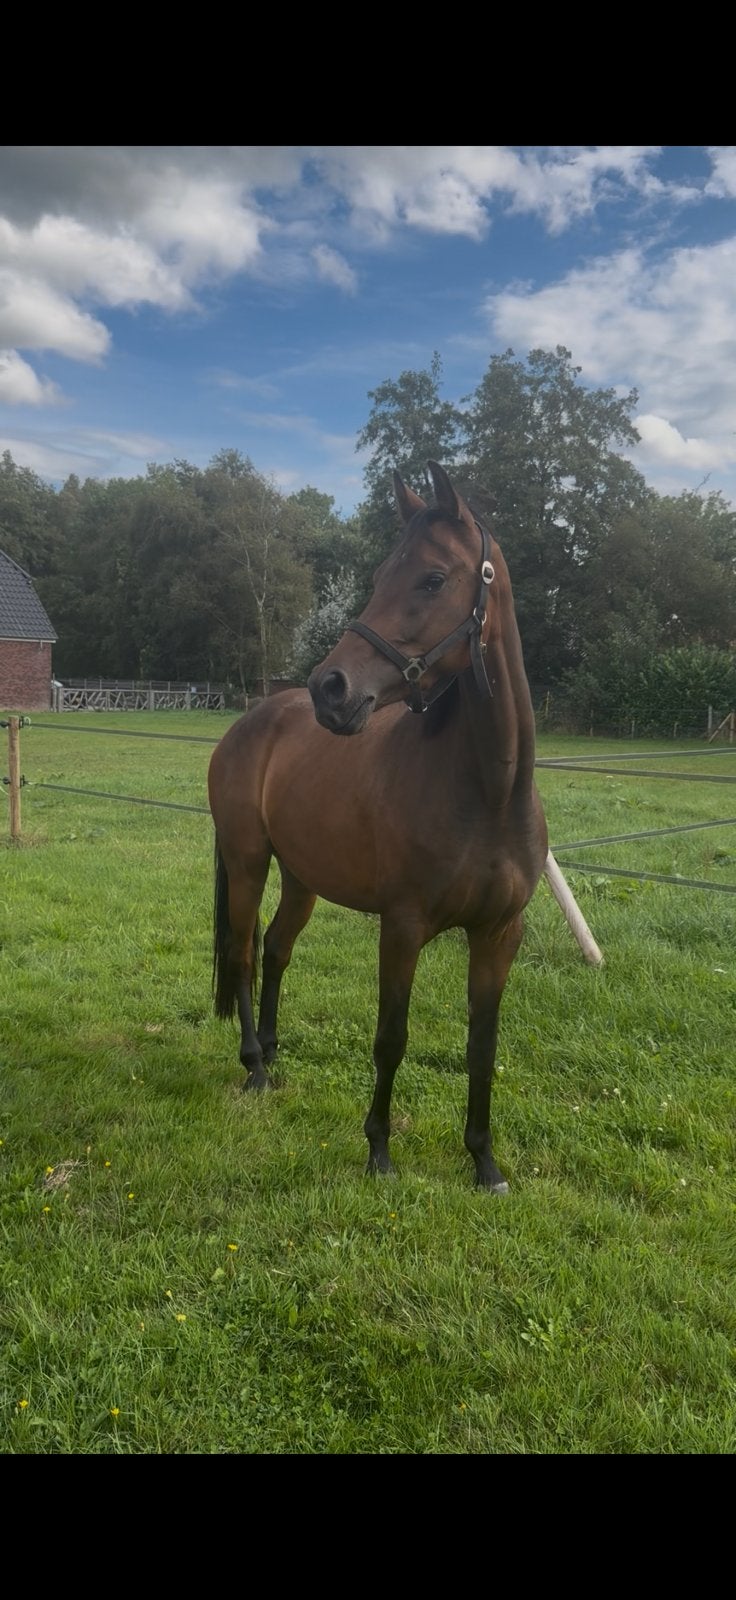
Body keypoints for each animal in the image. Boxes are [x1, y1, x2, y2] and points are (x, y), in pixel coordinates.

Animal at [208, 461, 548, 1191]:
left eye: (432, 578)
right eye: (379, 575)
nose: (330, 689)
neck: (488, 795)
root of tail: (254, 718)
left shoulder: (499, 934)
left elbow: (483, 1046)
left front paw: (484, 1161)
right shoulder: (403, 927)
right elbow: (392, 1037)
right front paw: (379, 1151)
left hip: (302, 876)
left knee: (275, 949)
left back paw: (273, 1054)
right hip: (248, 861)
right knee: (244, 952)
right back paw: (253, 1067)